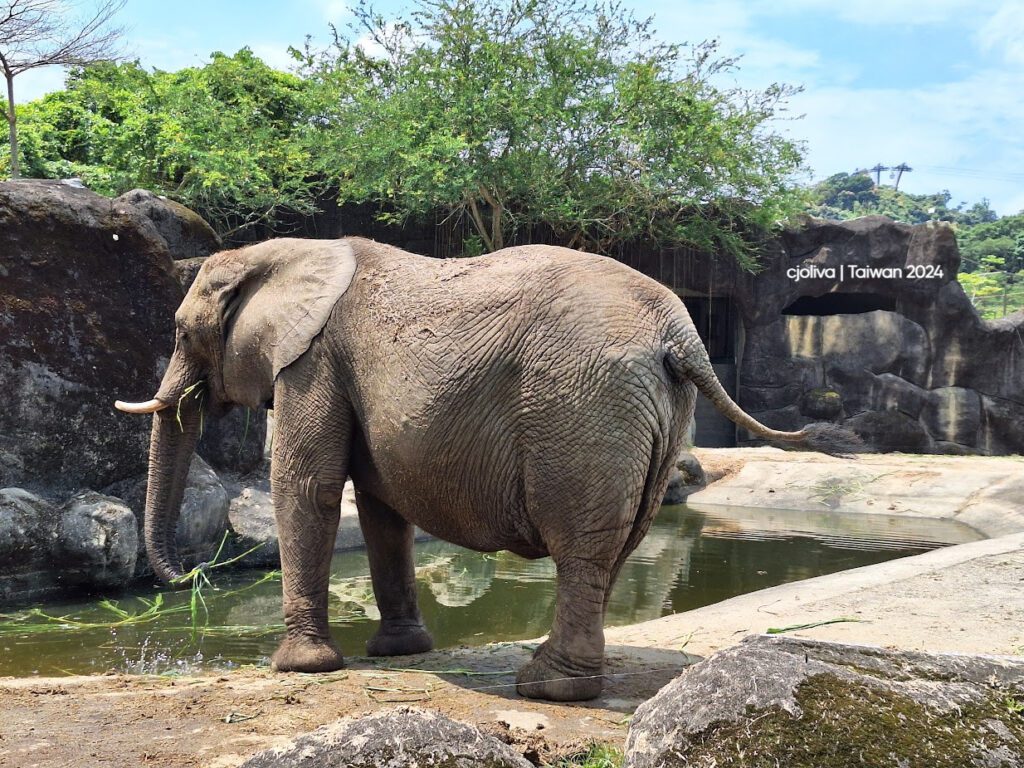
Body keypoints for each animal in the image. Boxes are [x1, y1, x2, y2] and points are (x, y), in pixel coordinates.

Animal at [116, 236, 853, 701]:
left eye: (181, 332)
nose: (192, 576)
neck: (284, 252)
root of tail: (683, 336)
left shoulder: (313, 360)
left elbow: (310, 489)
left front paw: (300, 670)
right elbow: (382, 510)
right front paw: (400, 653)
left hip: (580, 405)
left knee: (582, 545)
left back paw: (549, 688)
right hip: (649, 415)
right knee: (620, 541)